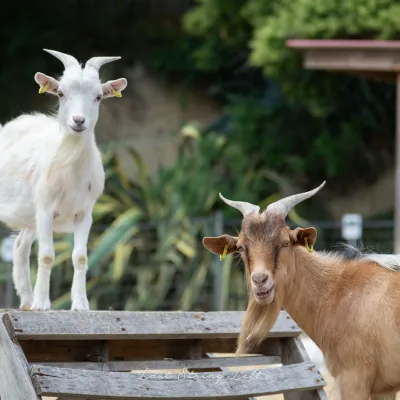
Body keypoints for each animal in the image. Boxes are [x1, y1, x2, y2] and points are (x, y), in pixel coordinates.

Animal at [0, 50, 126, 310]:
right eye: (60, 93)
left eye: (99, 97)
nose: (78, 121)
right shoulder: (45, 210)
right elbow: (47, 255)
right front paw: (42, 304)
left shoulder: (84, 214)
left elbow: (80, 256)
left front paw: (80, 304)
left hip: (30, 216)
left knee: (20, 246)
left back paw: (26, 301)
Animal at [205, 183, 400, 400]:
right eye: (240, 247)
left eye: (284, 243)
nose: (260, 280)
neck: (337, 291)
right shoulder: (384, 389)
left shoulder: (354, 378)